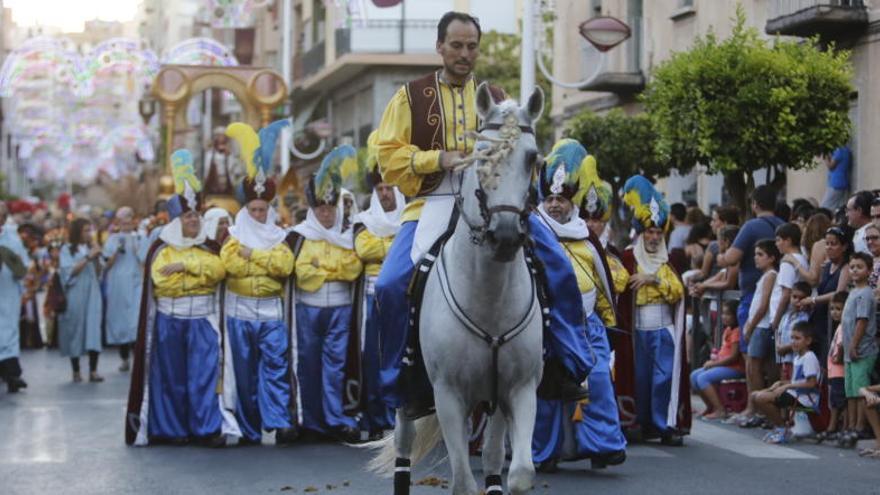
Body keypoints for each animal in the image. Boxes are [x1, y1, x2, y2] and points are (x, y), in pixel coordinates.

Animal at [370, 84, 548, 495]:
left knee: (495, 457)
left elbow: (518, 473)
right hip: (409, 394)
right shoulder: (448, 395)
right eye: (481, 153)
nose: (504, 236)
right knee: (404, 445)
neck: (490, 297)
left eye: (532, 158)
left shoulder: (519, 390)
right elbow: (464, 483)